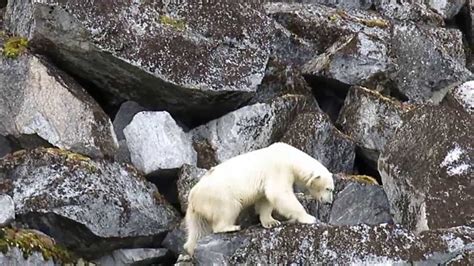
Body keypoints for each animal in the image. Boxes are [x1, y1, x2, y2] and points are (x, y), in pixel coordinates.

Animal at [183, 142, 336, 255]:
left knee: (198, 229)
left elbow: (265, 200)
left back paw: (190, 248)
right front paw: (309, 218)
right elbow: (279, 193)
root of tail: (192, 197)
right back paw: (230, 227)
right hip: (219, 195)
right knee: (228, 209)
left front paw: (271, 222)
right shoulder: (279, 169)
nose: (329, 202)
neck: (289, 156)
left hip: (198, 210)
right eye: (328, 189)